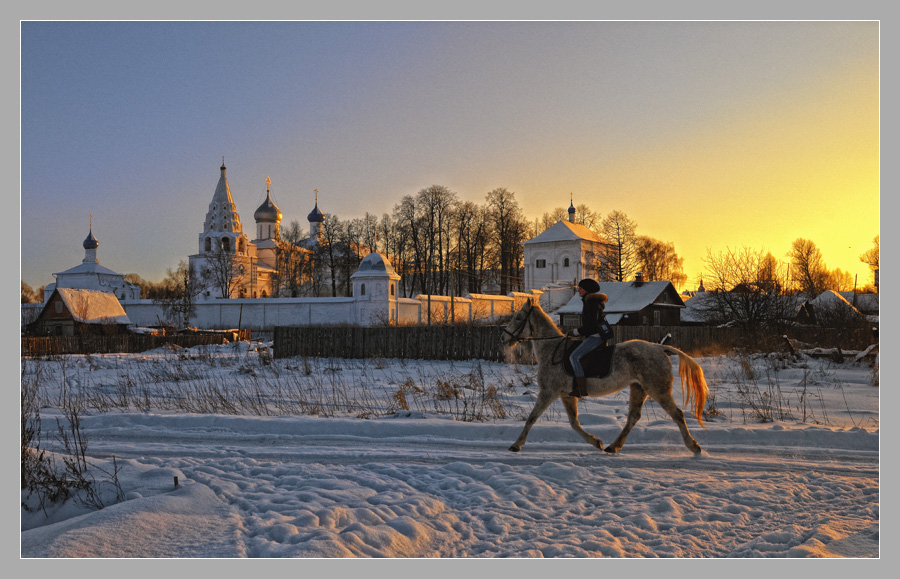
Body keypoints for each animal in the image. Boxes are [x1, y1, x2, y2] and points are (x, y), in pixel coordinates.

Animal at [500, 302, 712, 456]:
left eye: (518, 317)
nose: (504, 338)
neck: (552, 350)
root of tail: (660, 348)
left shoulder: (548, 392)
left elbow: (532, 418)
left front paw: (516, 445)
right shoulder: (567, 395)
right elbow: (574, 423)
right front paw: (596, 442)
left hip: (658, 390)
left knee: (677, 414)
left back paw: (694, 446)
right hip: (638, 388)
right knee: (633, 417)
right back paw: (613, 446)